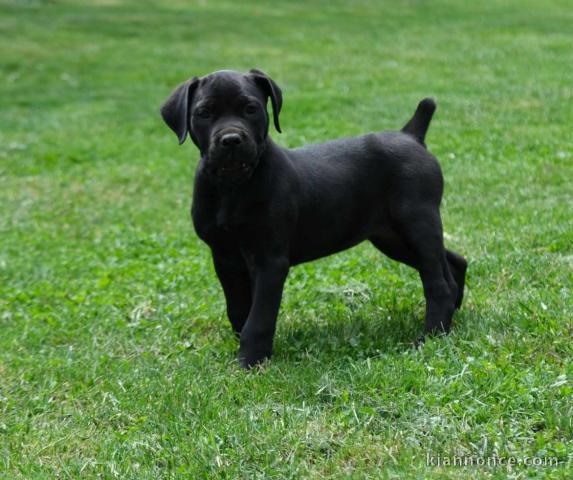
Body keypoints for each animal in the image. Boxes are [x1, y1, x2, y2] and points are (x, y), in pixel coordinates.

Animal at [160, 69, 464, 368]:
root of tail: (411, 136)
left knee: (437, 284)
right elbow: (238, 309)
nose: (232, 140)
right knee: (454, 261)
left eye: (251, 109)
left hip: (417, 224)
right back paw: (455, 313)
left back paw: (431, 335)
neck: (232, 187)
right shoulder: (225, 258)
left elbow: (259, 317)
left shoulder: (270, 261)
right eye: (204, 113)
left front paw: (251, 361)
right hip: (392, 237)